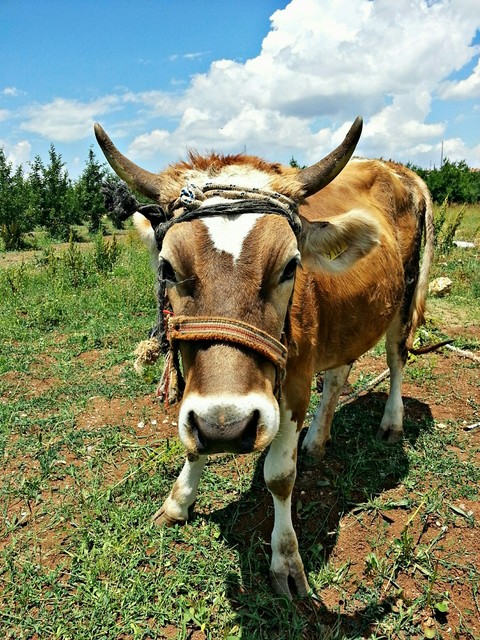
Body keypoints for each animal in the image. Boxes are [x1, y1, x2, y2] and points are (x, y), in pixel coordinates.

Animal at [94, 118, 434, 598]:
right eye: (167, 269)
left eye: (291, 265)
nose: (227, 427)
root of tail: (395, 168)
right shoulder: (202, 397)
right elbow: (193, 442)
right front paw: (178, 503)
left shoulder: (293, 383)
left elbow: (279, 476)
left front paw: (286, 560)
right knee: (339, 374)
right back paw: (317, 440)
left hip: (402, 299)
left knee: (397, 358)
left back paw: (391, 423)